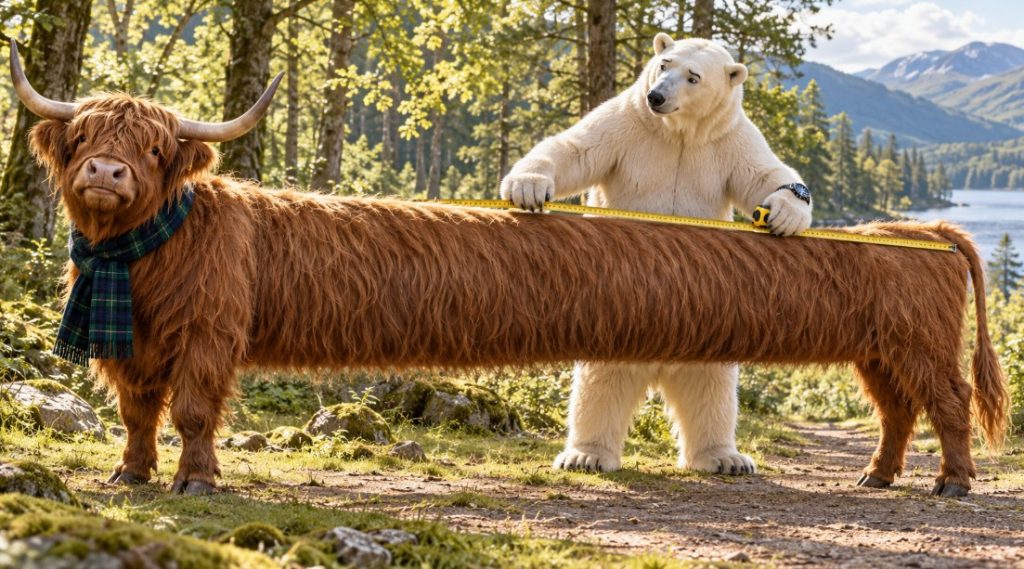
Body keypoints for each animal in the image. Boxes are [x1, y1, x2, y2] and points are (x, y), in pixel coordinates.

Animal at [9, 42, 1007, 497]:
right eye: (88, 137)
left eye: (153, 147)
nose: (106, 173)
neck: (142, 260)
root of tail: (919, 230)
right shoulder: (133, 346)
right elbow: (138, 412)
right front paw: (130, 476)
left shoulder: (212, 333)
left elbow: (192, 408)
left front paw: (196, 479)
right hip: (879, 347)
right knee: (897, 410)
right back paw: (876, 476)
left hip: (916, 342)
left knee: (948, 403)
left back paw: (948, 483)